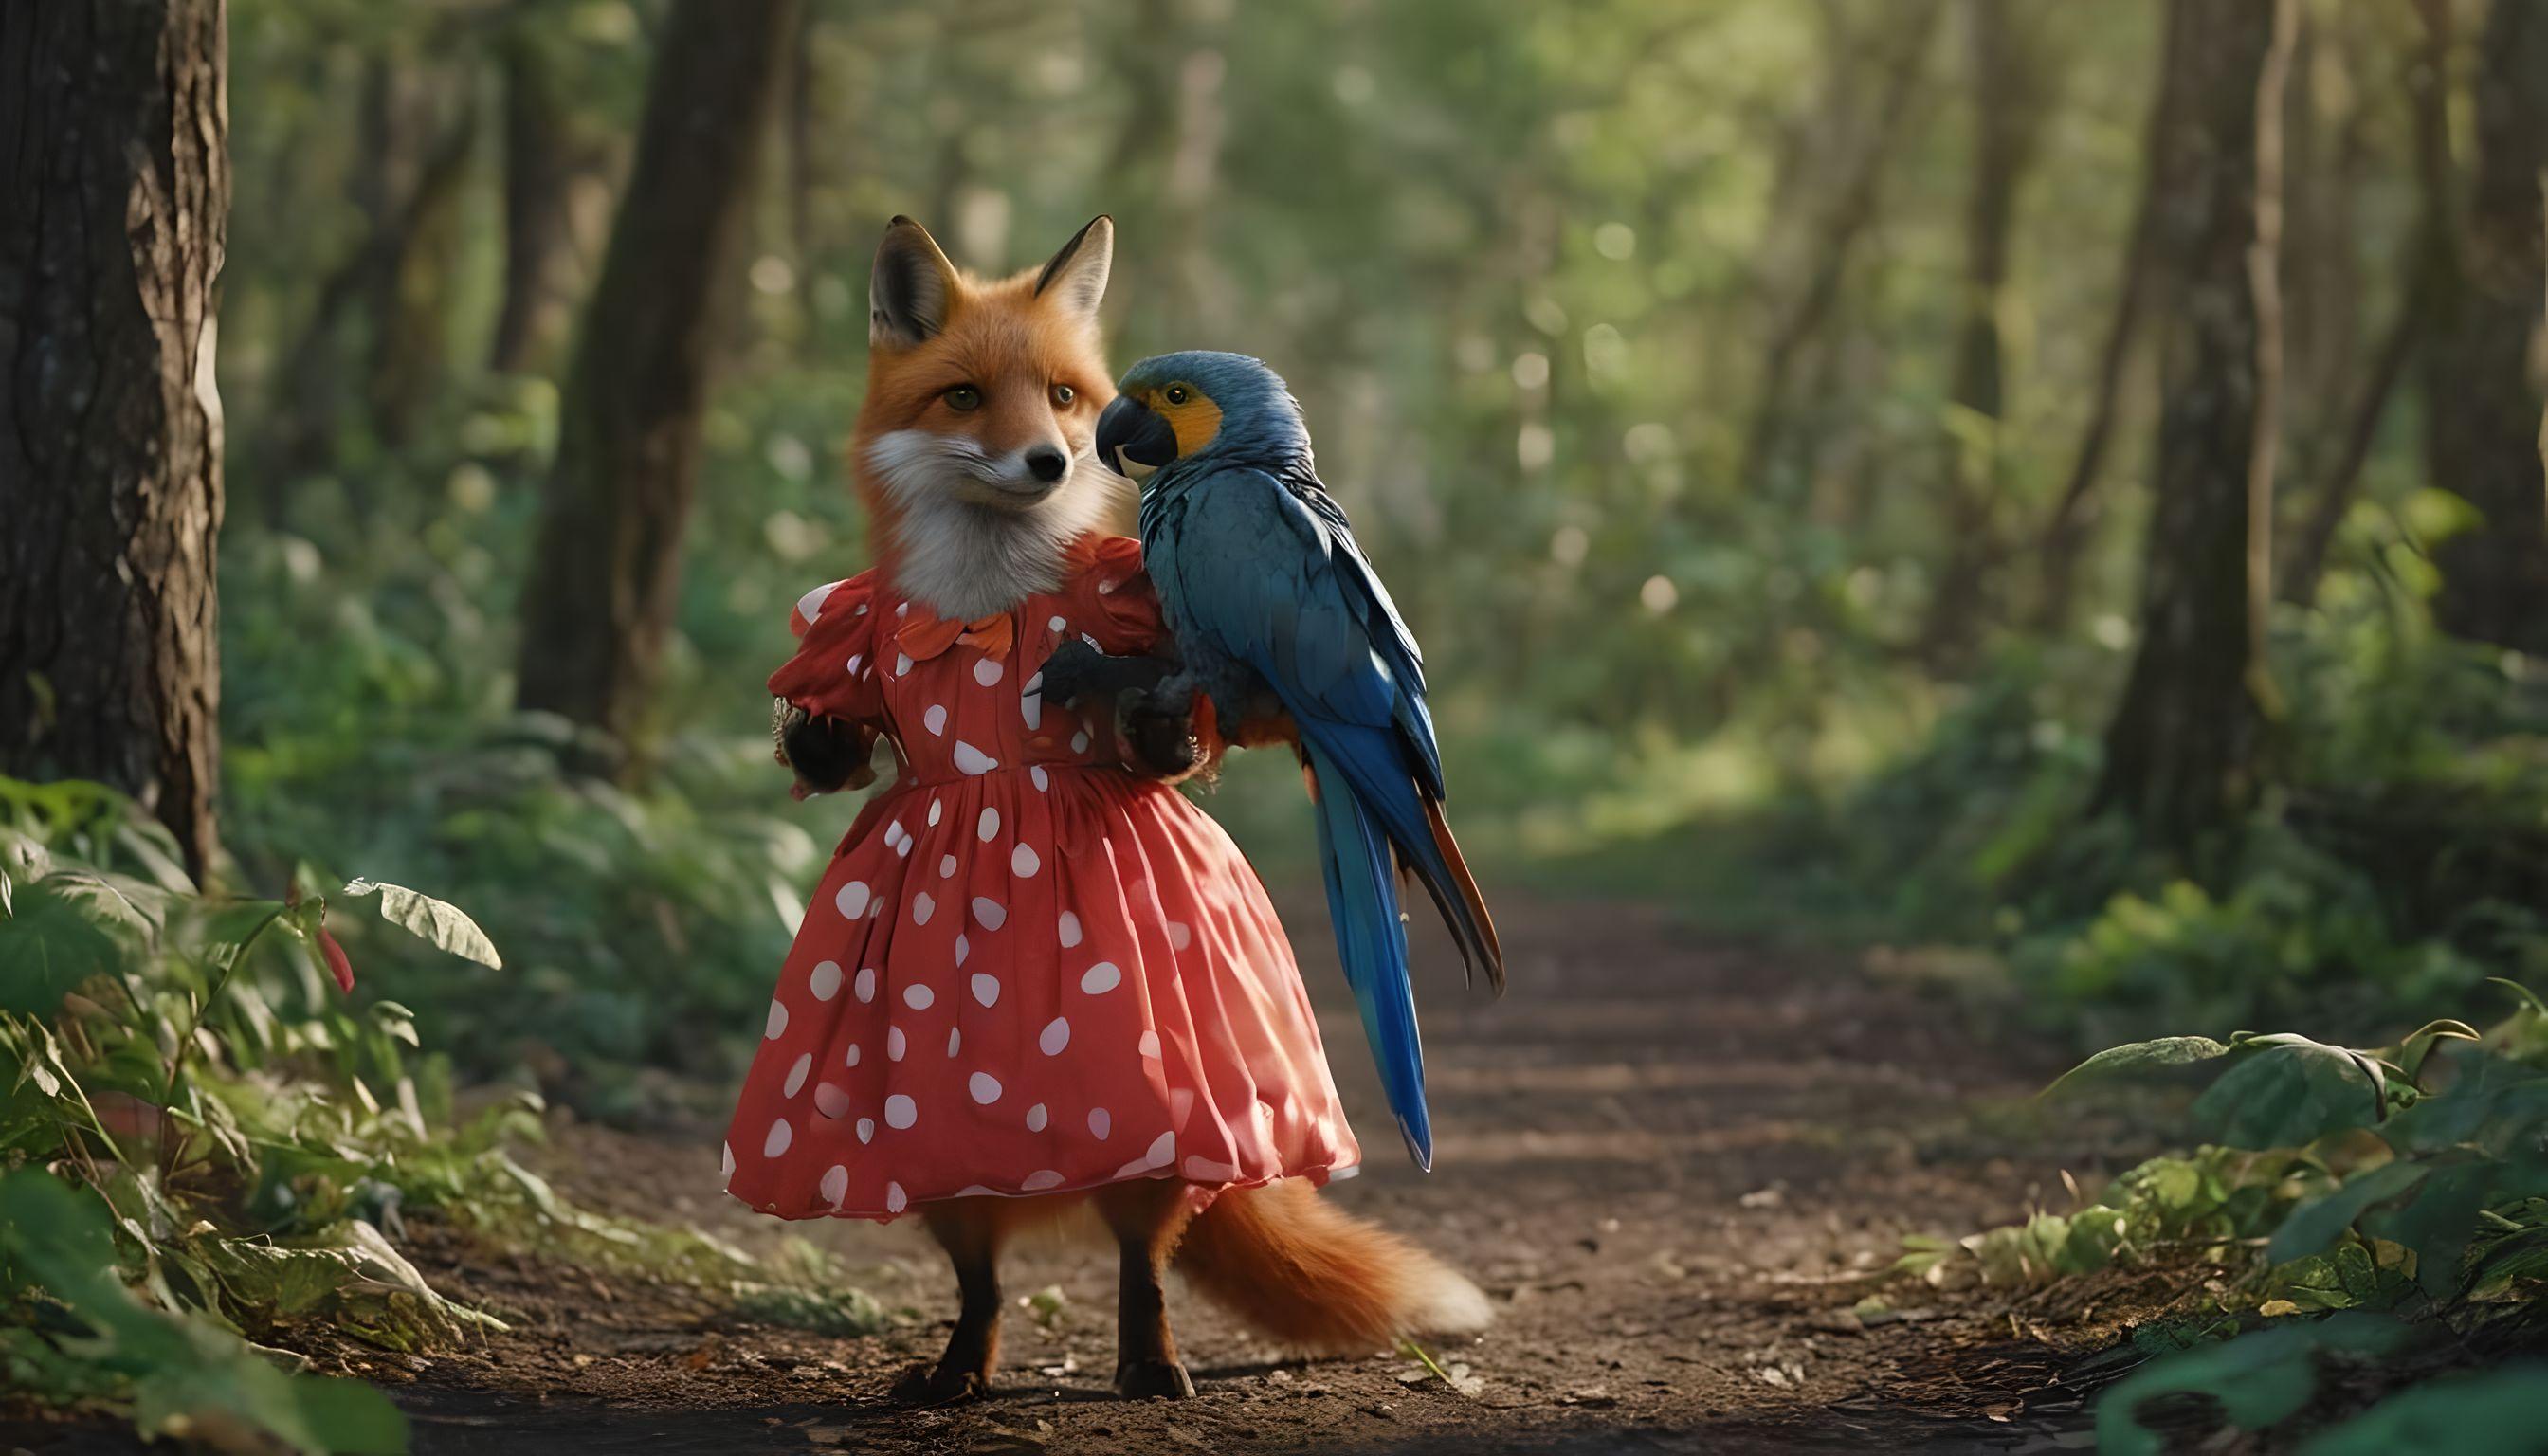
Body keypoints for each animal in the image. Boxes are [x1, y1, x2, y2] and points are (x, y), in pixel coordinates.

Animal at [753, 214, 1490, 1405]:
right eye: (966, 398)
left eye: (1074, 395)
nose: (1078, 450)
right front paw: (815, 732)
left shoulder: (1198, 583)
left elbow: (1182, 703)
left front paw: (1107, 682)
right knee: (978, 1263)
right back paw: (959, 1362)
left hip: (1349, 719)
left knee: (1145, 1244)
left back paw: (1150, 1358)